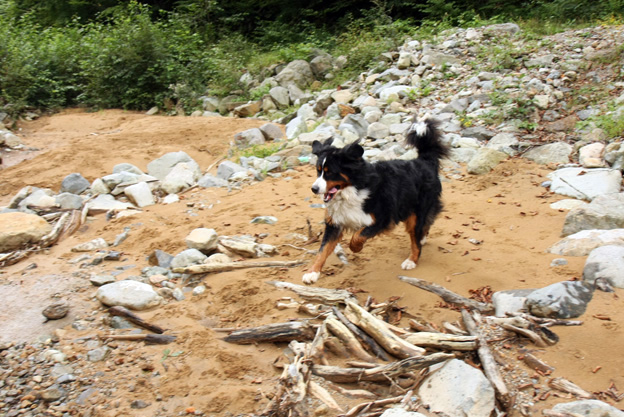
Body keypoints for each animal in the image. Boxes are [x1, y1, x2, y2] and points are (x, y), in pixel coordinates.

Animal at [302, 118, 448, 284]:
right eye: (318, 171)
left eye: (330, 173)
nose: (314, 189)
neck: (352, 190)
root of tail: (425, 161)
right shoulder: (335, 223)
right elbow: (322, 250)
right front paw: (312, 272)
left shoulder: (382, 219)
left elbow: (358, 236)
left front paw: (356, 248)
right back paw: (422, 239)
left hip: (416, 212)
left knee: (416, 238)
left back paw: (412, 260)